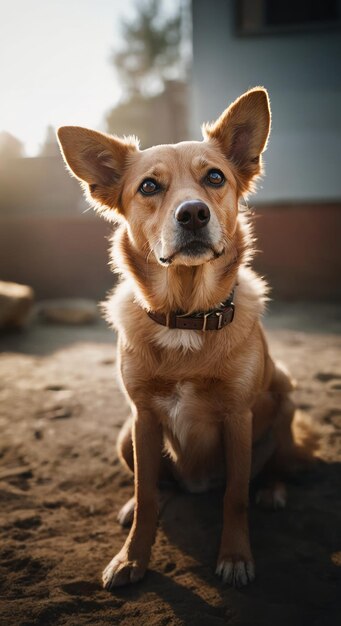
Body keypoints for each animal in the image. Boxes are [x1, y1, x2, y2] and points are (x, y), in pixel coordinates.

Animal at [57, 86, 296, 584]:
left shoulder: (238, 418)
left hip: (286, 397)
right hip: (125, 433)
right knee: (156, 487)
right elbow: (148, 493)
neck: (187, 315)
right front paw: (131, 557)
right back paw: (133, 507)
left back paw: (273, 489)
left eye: (215, 177)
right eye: (149, 186)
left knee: (268, 469)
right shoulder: (143, 418)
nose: (193, 214)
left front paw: (235, 556)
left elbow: (235, 498)